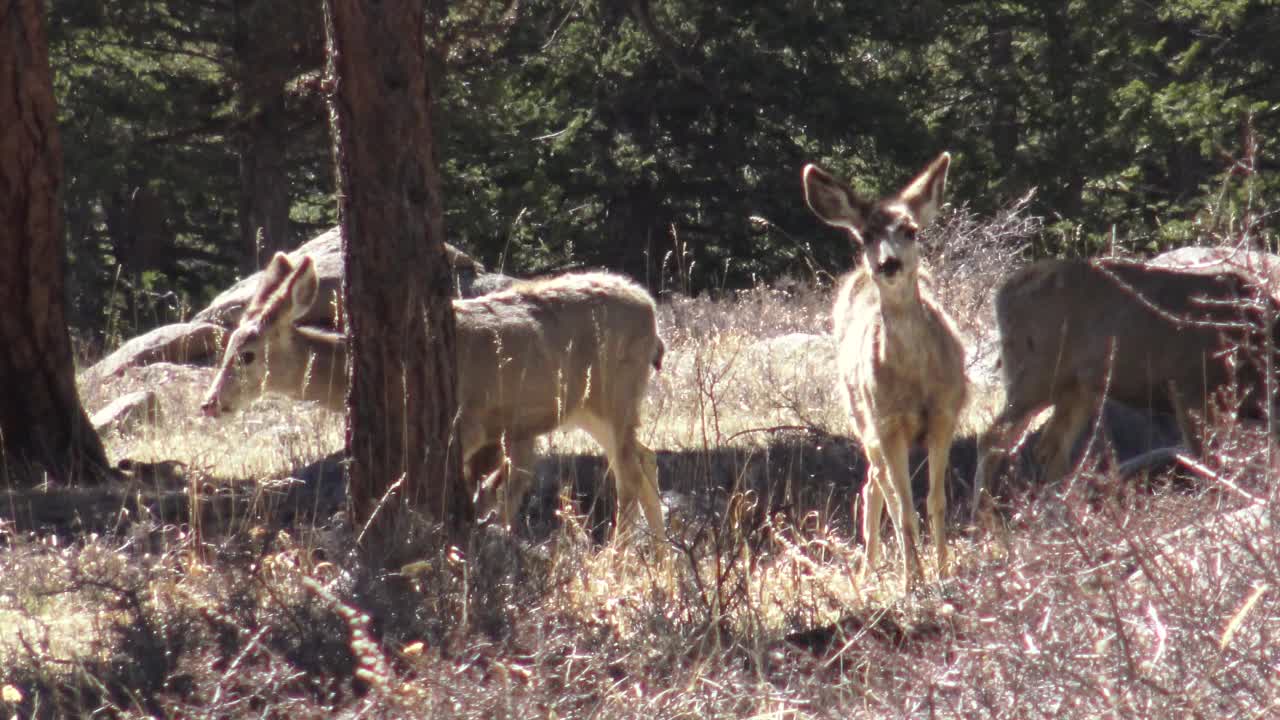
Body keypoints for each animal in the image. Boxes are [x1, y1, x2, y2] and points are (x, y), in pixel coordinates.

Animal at [202, 252, 670, 548]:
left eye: (246, 355)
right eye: (226, 348)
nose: (210, 403)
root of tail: (651, 311)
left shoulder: (469, 426)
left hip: (614, 393)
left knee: (628, 474)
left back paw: (617, 558)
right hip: (593, 407)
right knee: (645, 458)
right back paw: (661, 559)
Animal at [803, 152, 962, 589]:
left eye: (910, 230)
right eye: (867, 235)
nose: (889, 262)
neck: (915, 379)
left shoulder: (945, 414)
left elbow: (936, 500)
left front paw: (944, 569)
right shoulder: (888, 422)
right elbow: (904, 507)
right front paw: (913, 581)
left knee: (875, 483)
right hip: (862, 417)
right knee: (876, 487)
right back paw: (868, 568)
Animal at [972, 254, 1274, 507]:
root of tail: (1002, 293)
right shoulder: (1189, 385)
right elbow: (1206, 458)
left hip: (1077, 388)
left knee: (1050, 448)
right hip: (1035, 373)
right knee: (992, 440)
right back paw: (987, 527)